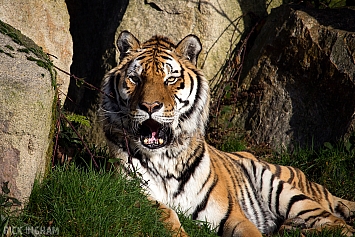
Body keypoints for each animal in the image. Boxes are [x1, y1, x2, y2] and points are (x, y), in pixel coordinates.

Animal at [101, 30, 355, 236]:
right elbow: (166, 214)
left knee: (339, 225)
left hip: (285, 191)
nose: (150, 106)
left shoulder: (233, 215)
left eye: (170, 79)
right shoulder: (131, 192)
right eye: (135, 79)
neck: (165, 159)